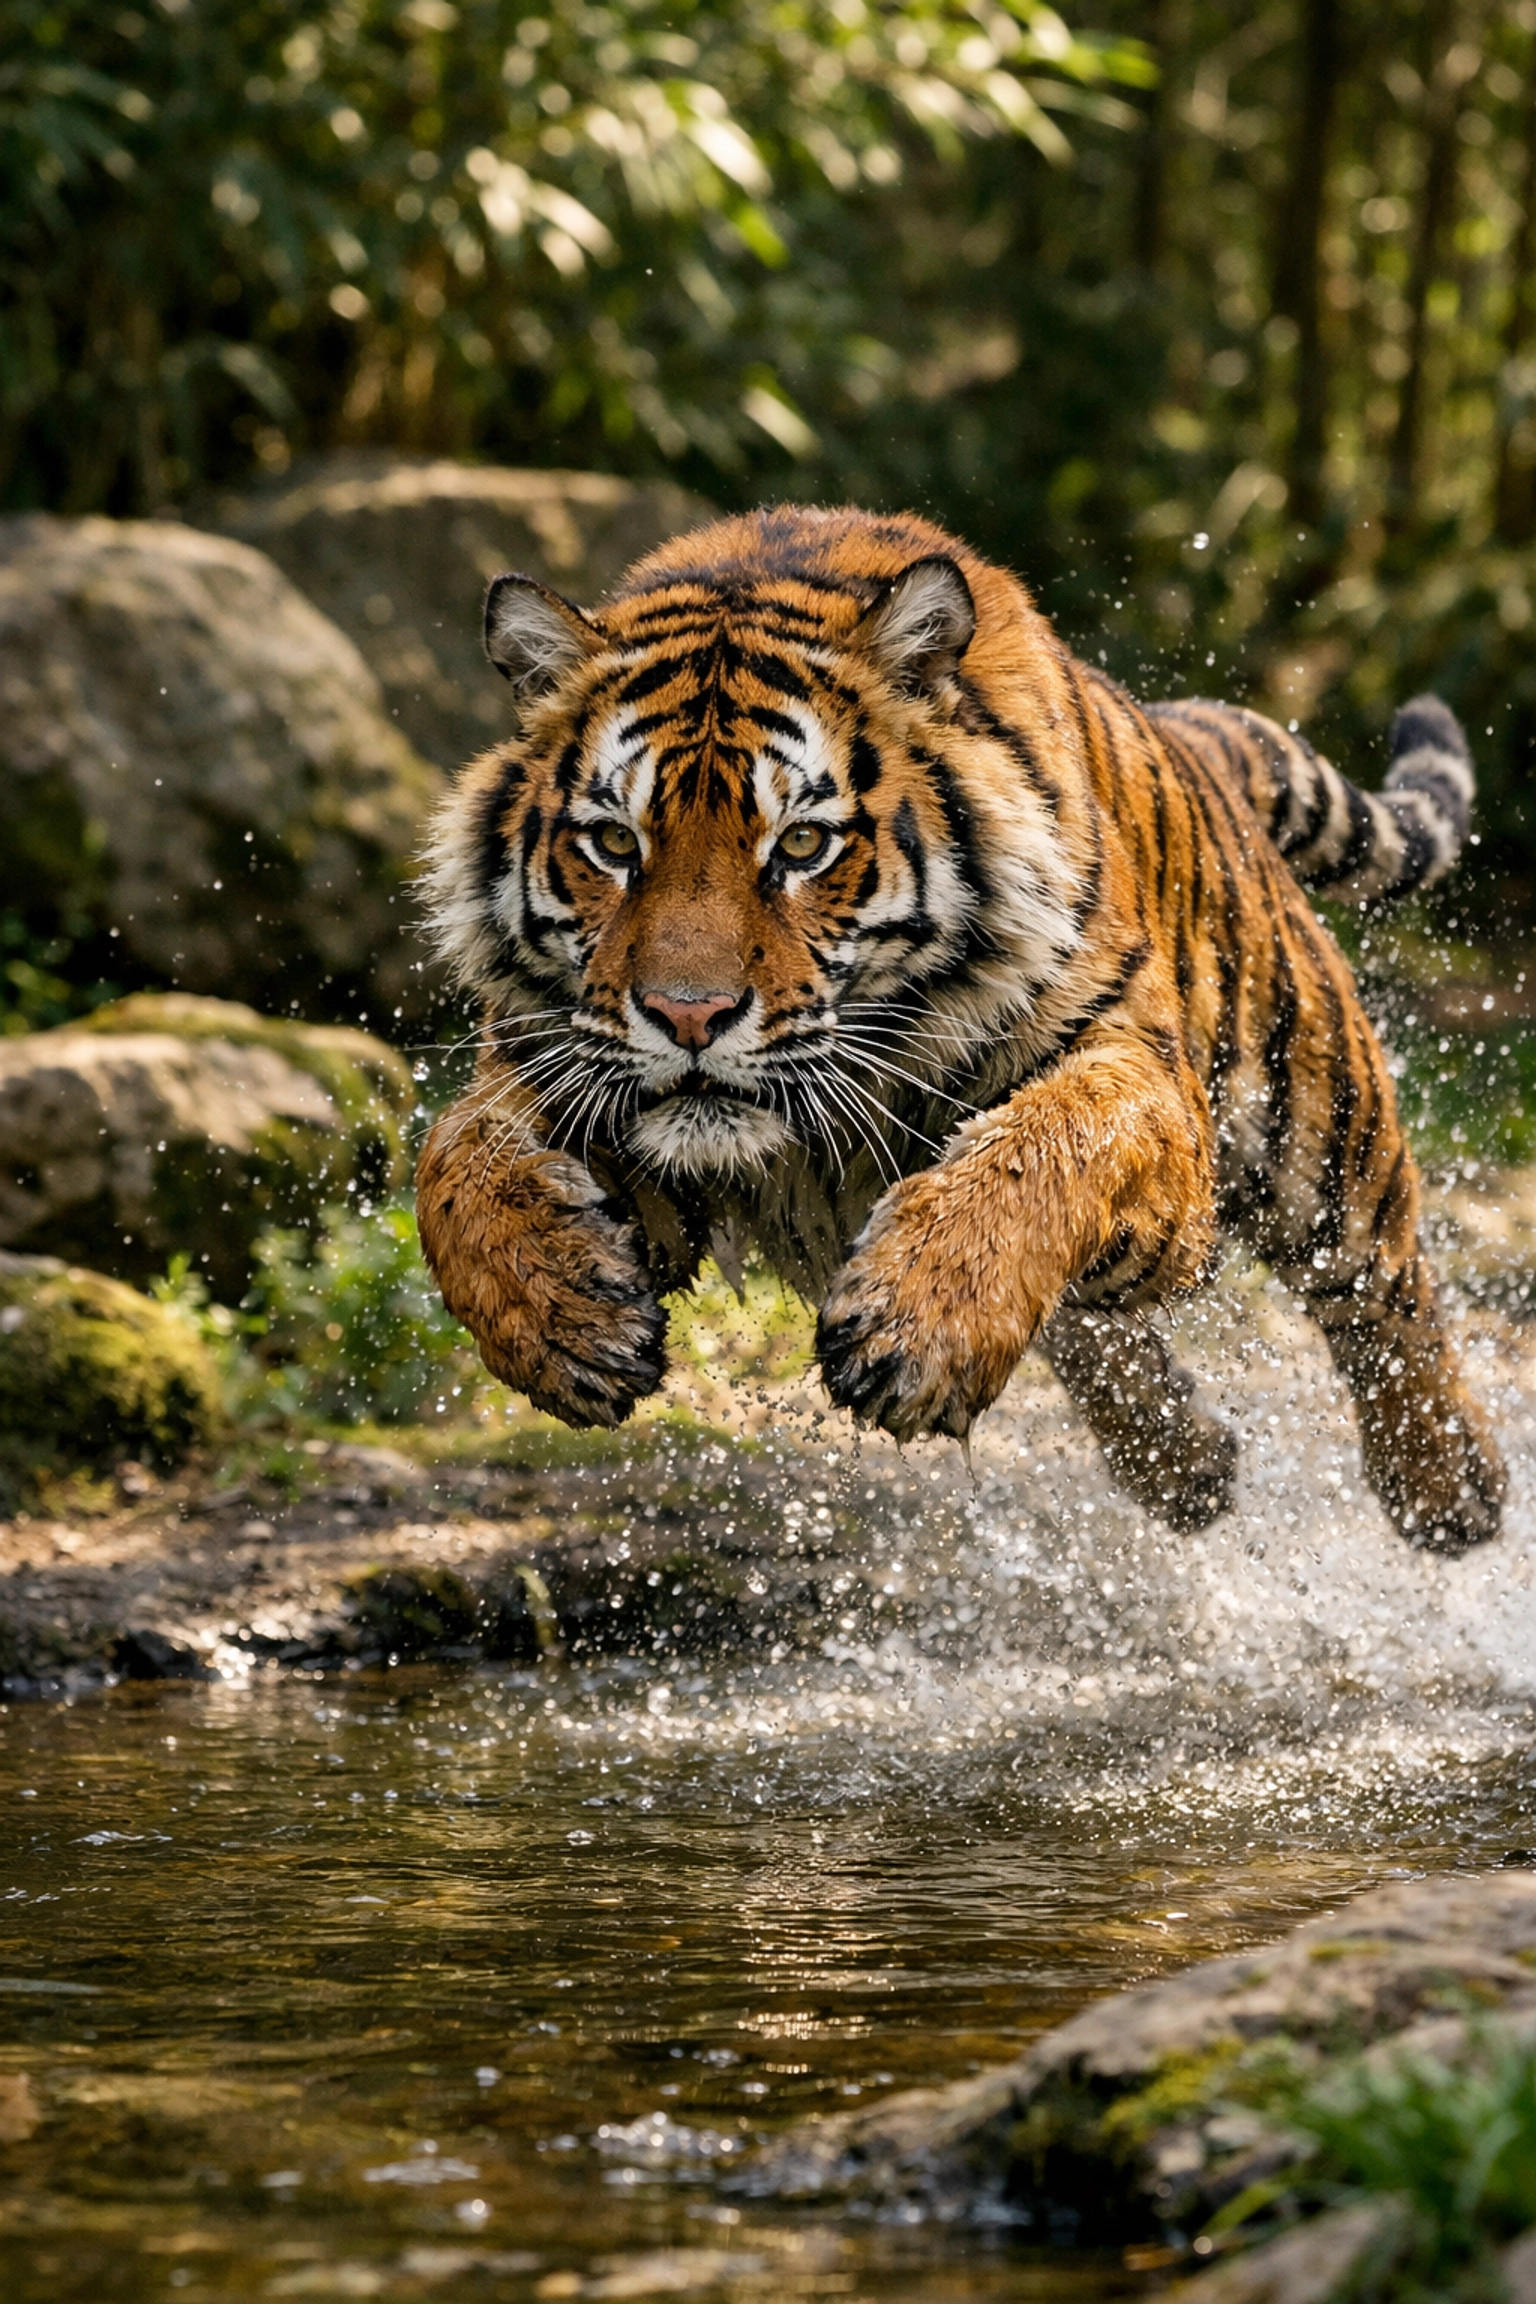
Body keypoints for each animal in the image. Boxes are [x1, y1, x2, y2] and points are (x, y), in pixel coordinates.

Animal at [416, 503, 1505, 1553]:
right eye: (613, 842)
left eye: (801, 846)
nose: (691, 1016)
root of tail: (1171, 731)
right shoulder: (553, 1062)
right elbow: (455, 1162)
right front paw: (562, 1323)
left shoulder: (1146, 1078)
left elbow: (1049, 1142)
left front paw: (919, 1330)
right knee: (1097, 1323)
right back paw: (1186, 1467)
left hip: (1310, 1117)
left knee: (1387, 1290)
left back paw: (1453, 1491)